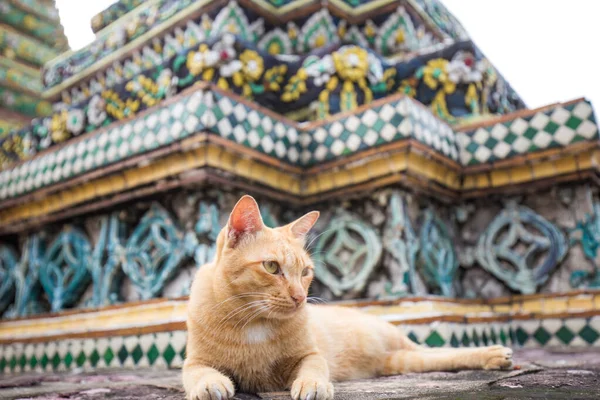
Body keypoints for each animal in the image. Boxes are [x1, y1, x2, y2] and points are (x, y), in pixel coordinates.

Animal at [183, 195, 510, 398]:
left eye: (305, 272)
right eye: (272, 267)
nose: (300, 297)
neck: (254, 323)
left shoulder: (310, 355)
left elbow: (314, 368)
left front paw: (314, 385)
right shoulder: (194, 362)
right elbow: (199, 374)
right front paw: (210, 385)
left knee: (439, 350)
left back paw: (495, 354)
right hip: (403, 361)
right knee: (434, 357)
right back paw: (494, 356)